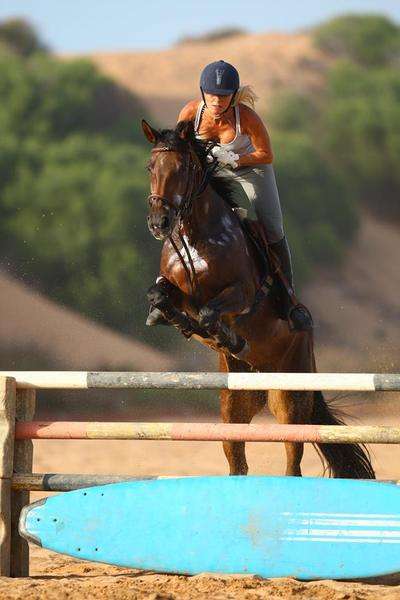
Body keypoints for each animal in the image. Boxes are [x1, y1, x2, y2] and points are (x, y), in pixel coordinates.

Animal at [141, 118, 376, 478]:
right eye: (150, 167)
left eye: (182, 168)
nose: (159, 223)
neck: (195, 237)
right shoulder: (175, 290)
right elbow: (161, 296)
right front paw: (175, 321)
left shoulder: (243, 294)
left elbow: (209, 312)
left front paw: (224, 336)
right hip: (234, 406)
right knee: (237, 459)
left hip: (290, 400)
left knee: (293, 461)